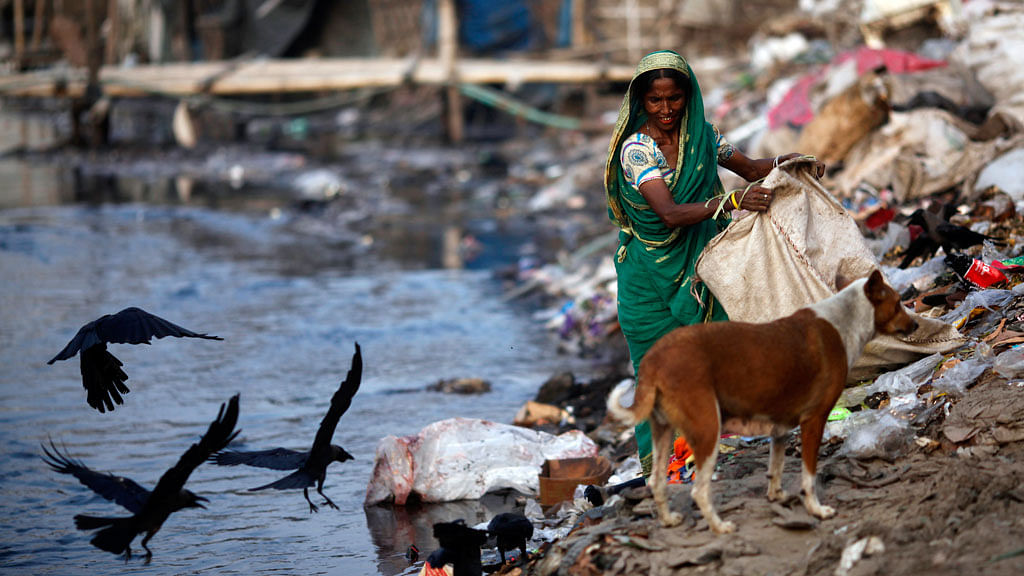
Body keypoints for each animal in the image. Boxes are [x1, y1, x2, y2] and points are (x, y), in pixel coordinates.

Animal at [606, 268, 921, 528]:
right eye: (898, 303)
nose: (916, 326)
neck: (845, 318)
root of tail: (653, 362)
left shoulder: (779, 428)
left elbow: (775, 469)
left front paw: (777, 496)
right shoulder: (814, 420)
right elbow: (809, 476)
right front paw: (816, 510)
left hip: (662, 432)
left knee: (657, 483)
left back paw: (669, 520)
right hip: (707, 430)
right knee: (699, 491)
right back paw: (720, 528)